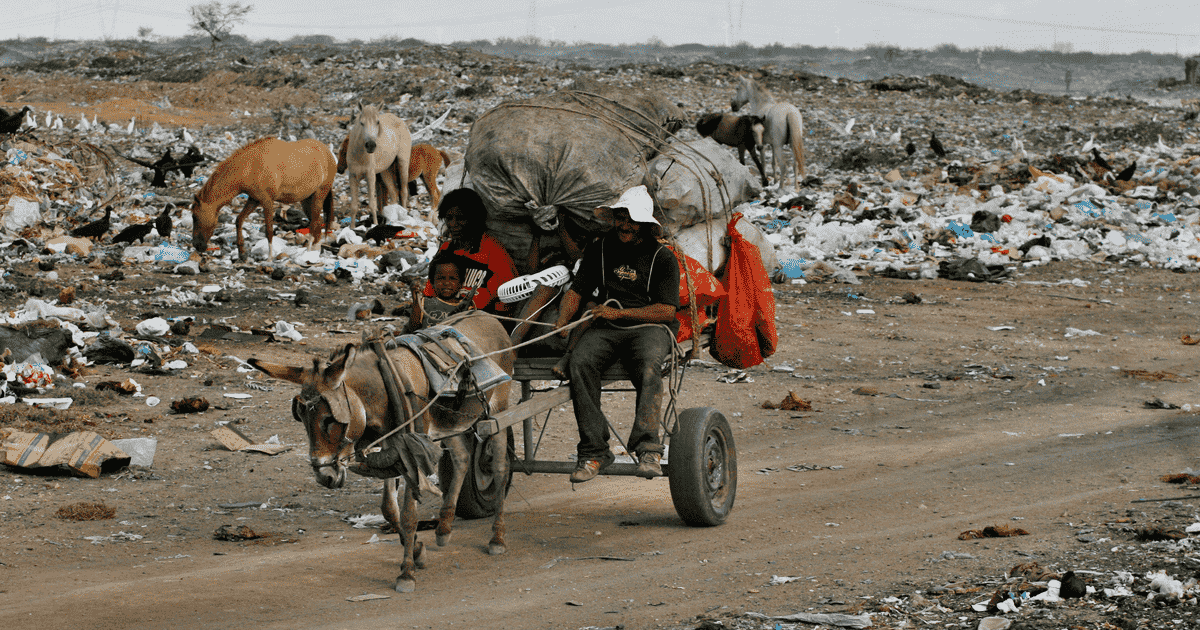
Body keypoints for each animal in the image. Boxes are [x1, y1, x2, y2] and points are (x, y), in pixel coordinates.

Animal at [189, 136, 336, 258]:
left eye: (194, 216)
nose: (197, 245)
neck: (250, 166)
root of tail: (328, 153)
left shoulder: (267, 201)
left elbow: (269, 230)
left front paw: (270, 258)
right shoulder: (254, 200)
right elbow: (239, 220)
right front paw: (242, 253)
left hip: (319, 196)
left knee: (315, 223)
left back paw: (309, 251)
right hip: (307, 200)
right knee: (318, 222)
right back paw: (314, 252)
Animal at [248, 312, 516, 592]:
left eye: (329, 419)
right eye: (299, 417)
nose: (324, 477)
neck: (388, 385)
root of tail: (488, 317)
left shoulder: (411, 448)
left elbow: (408, 514)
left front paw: (406, 573)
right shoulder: (392, 448)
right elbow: (389, 508)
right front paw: (417, 551)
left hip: (498, 409)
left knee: (499, 467)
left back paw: (497, 538)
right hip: (450, 423)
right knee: (462, 457)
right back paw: (444, 529)